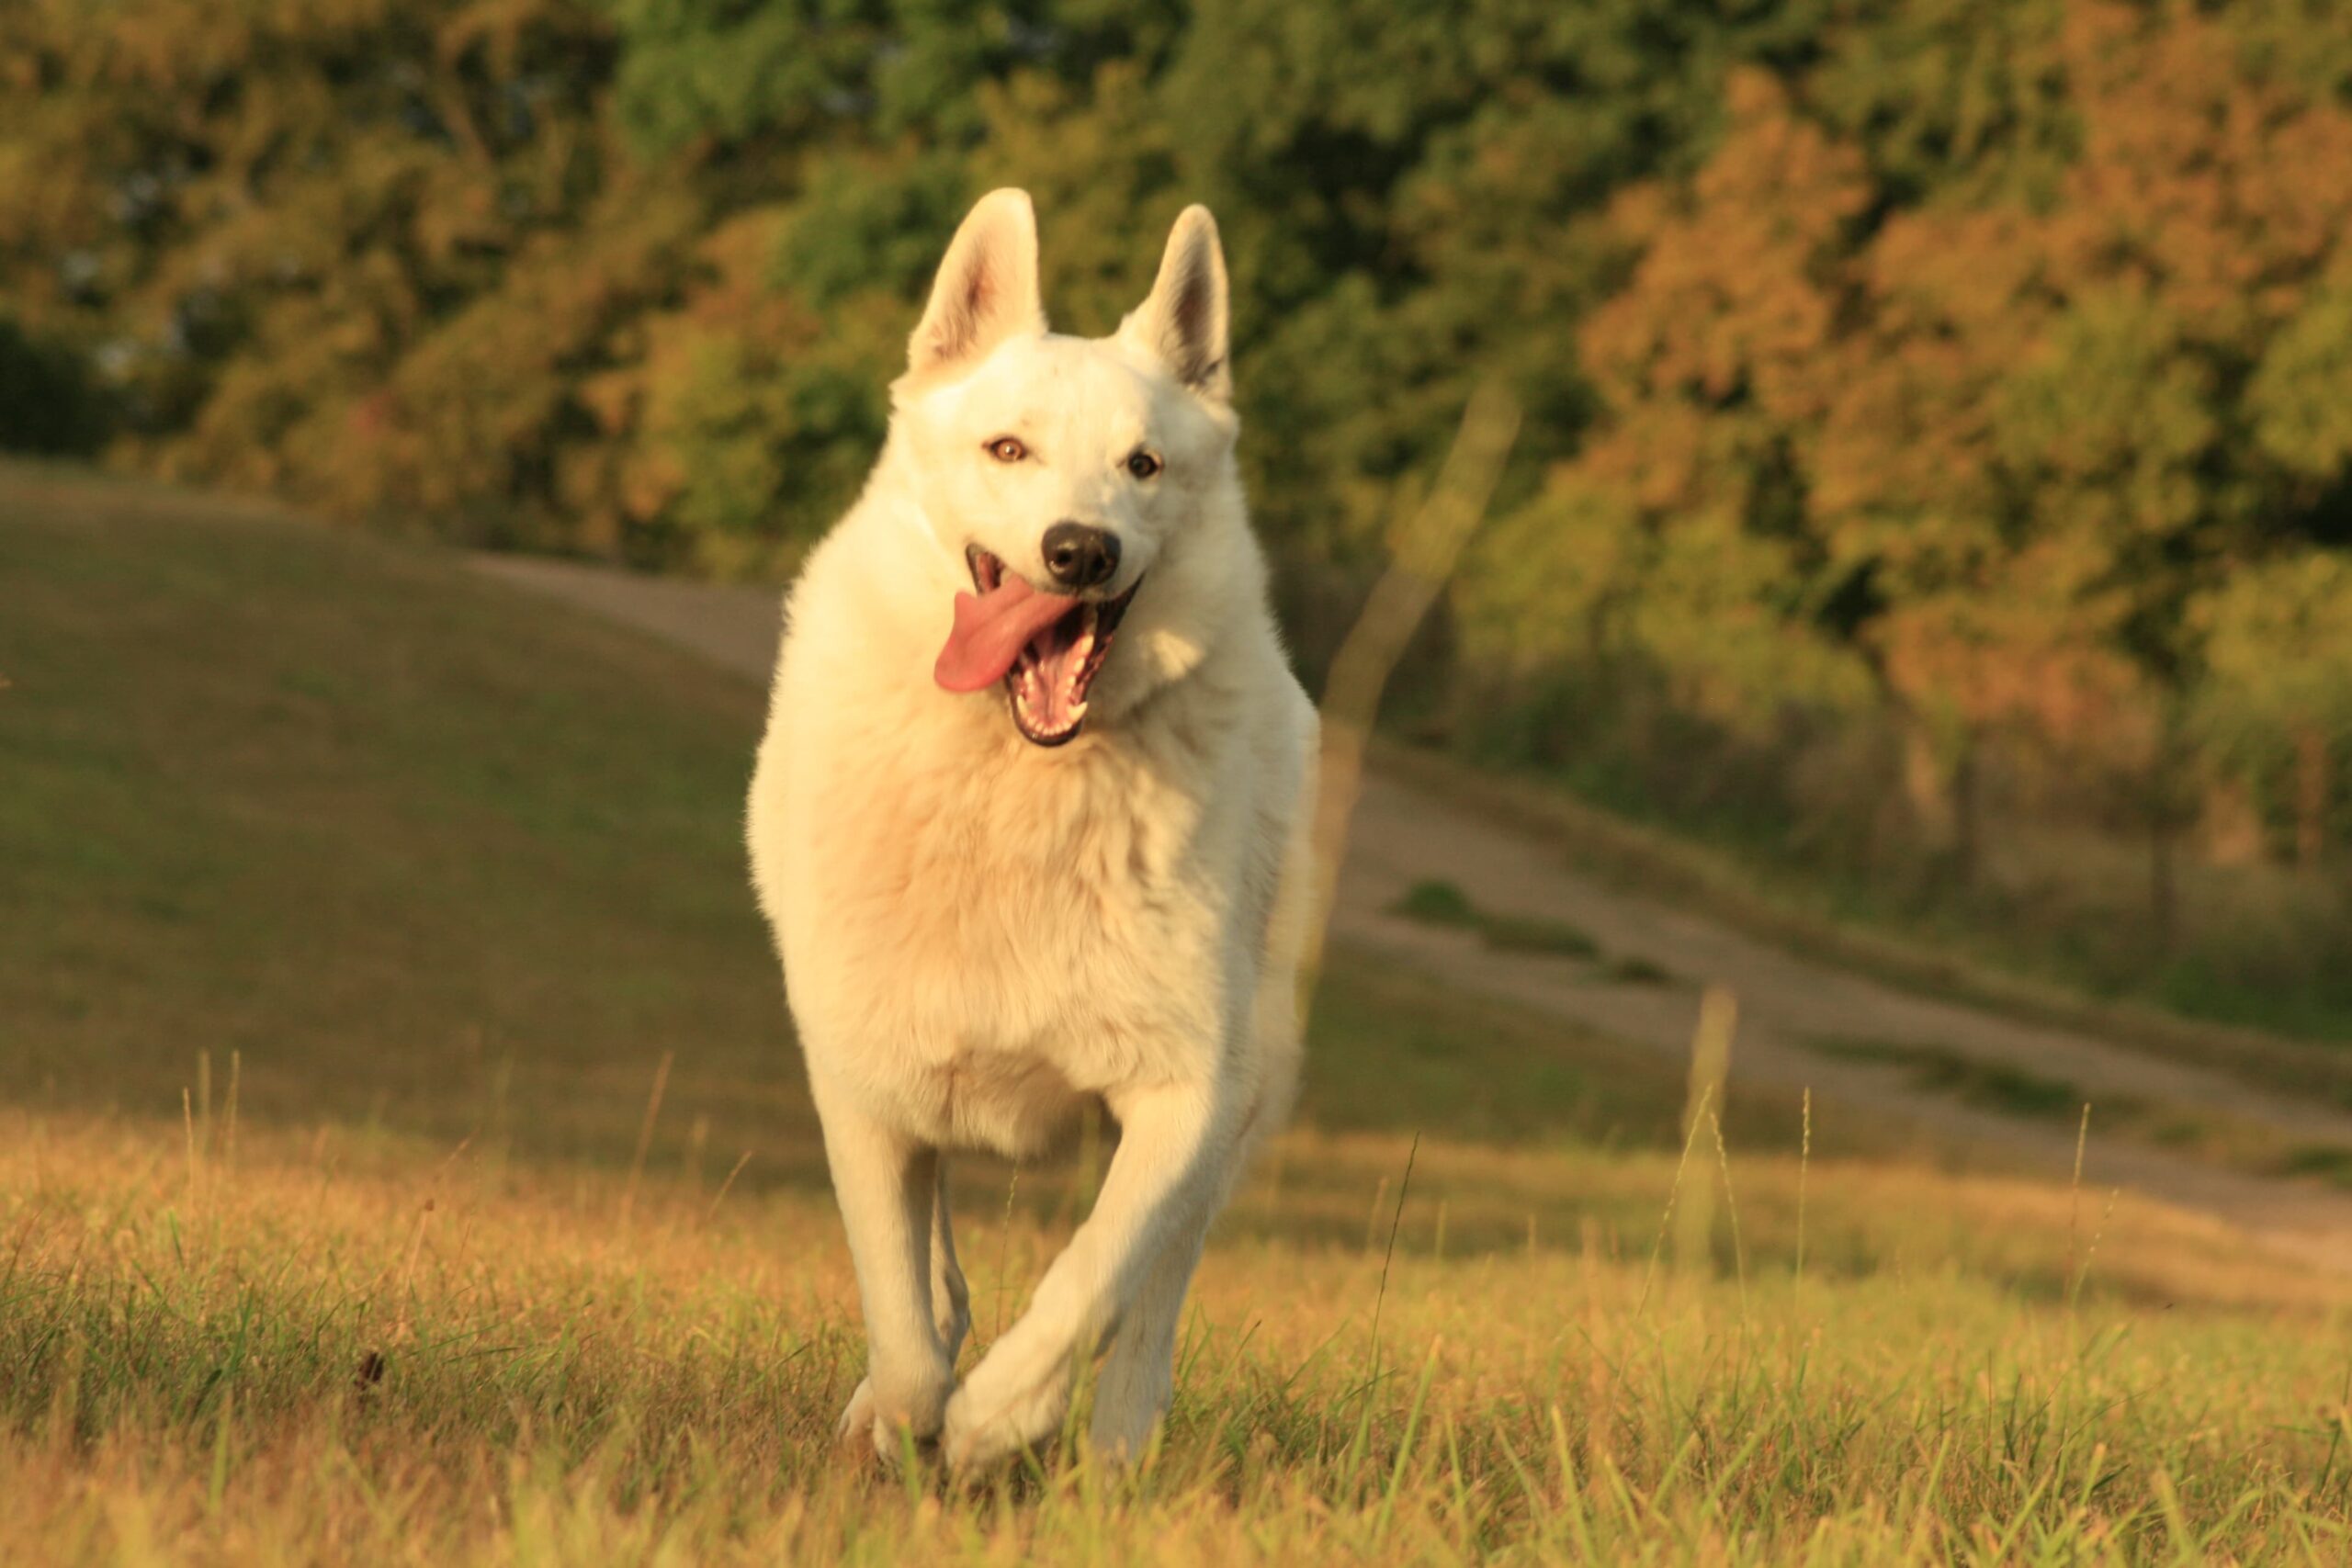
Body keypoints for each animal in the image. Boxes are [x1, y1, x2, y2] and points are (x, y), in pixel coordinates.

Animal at [742, 186, 1317, 1476]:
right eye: (1008, 450)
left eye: (1143, 466)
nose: (1079, 550)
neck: (1014, 784)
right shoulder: (864, 1089)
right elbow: (905, 1319)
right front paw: (907, 1422)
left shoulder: (1183, 1097)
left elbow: (1092, 1280)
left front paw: (1000, 1416)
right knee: (939, 1284)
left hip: (1248, 1091)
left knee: (1150, 1309)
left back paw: (1107, 1450)